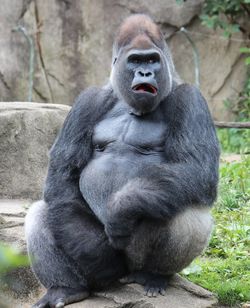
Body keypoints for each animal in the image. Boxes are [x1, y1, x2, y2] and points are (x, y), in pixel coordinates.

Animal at [25, 14, 220, 308]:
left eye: (152, 60)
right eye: (135, 61)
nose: (145, 74)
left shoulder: (191, 98)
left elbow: (196, 169)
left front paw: (121, 208)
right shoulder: (87, 100)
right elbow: (64, 175)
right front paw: (95, 255)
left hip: (134, 264)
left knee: (188, 207)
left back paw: (154, 275)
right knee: (44, 211)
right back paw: (67, 288)